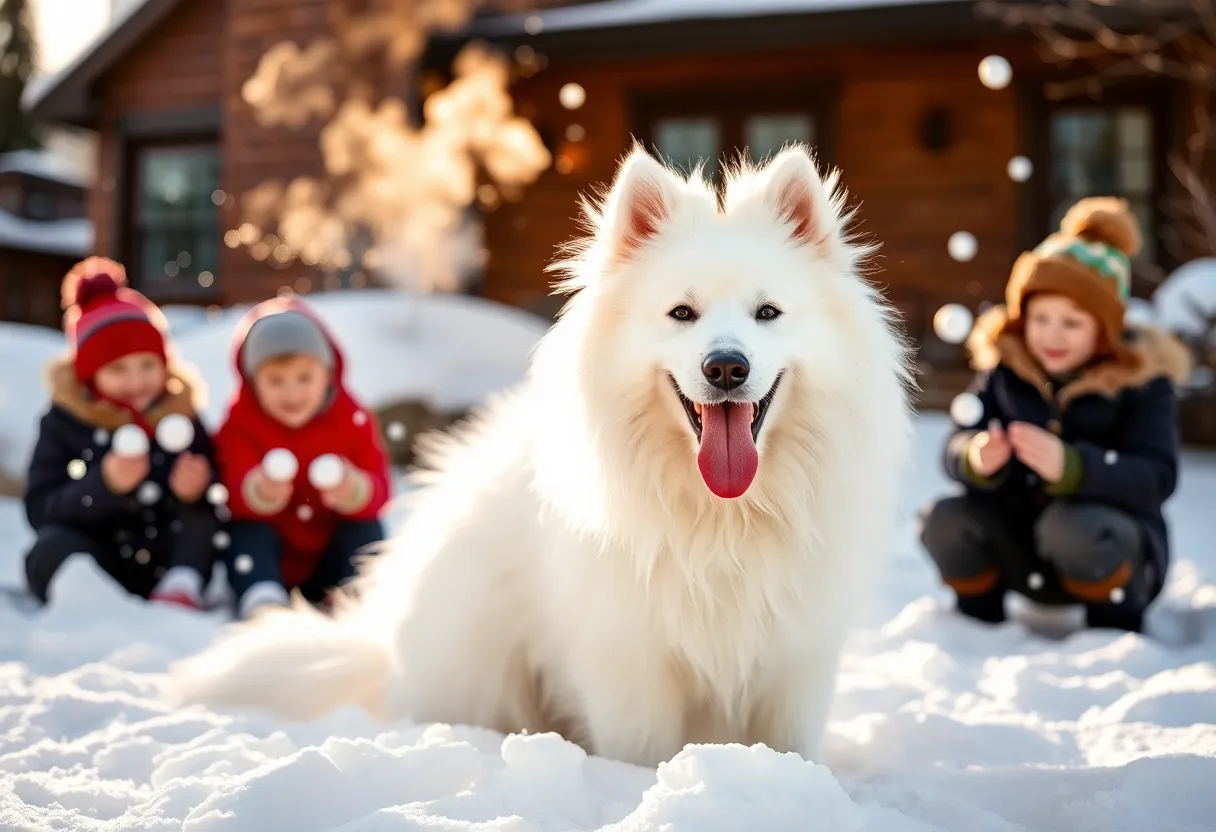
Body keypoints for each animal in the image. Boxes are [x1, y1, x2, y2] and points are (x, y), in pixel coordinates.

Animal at [171, 142, 914, 768]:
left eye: (768, 313)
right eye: (681, 314)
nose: (726, 367)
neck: (722, 517)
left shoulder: (796, 659)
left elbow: (790, 747)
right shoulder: (627, 662)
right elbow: (641, 754)